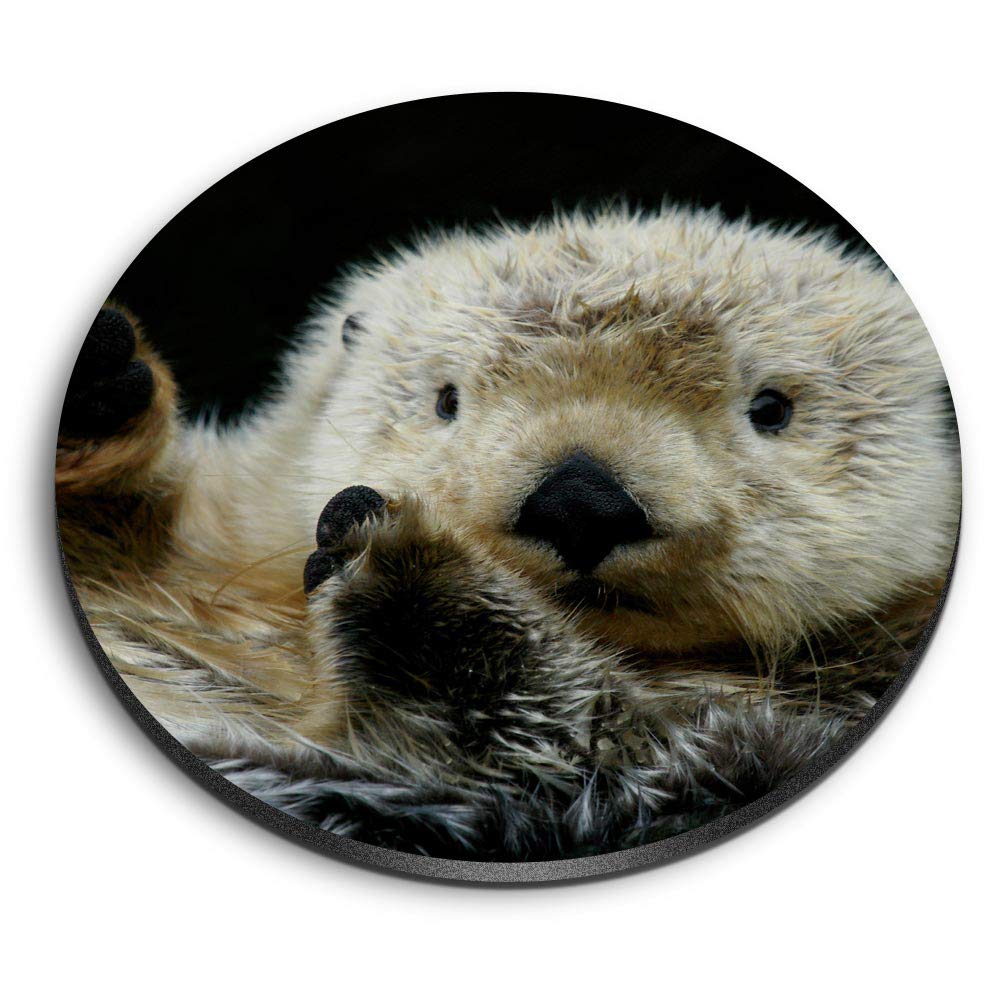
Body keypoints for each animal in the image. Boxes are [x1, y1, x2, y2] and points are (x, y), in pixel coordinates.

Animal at [56, 207, 960, 860]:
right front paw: (100, 390)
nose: (581, 500)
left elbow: (572, 736)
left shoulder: (726, 755)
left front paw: (402, 561)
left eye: (772, 409)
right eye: (446, 400)